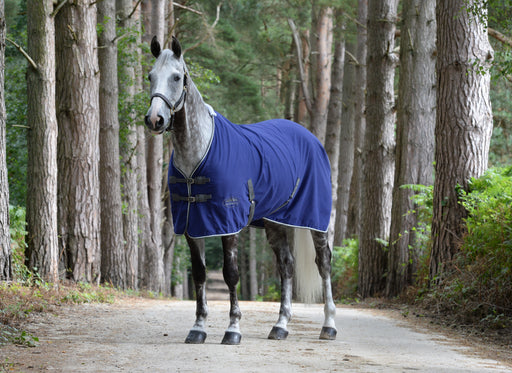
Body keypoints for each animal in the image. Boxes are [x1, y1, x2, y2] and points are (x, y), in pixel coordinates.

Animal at [144, 36, 338, 344]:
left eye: (176, 77)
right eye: (150, 76)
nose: (155, 120)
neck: (197, 154)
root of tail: (310, 138)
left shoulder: (228, 223)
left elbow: (230, 273)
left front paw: (233, 328)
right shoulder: (191, 225)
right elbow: (199, 274)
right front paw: (198, 328)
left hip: (315, 220)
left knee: (324, 263)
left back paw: (328, 325)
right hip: (275, 223)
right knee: (287, 265)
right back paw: (280, 326)